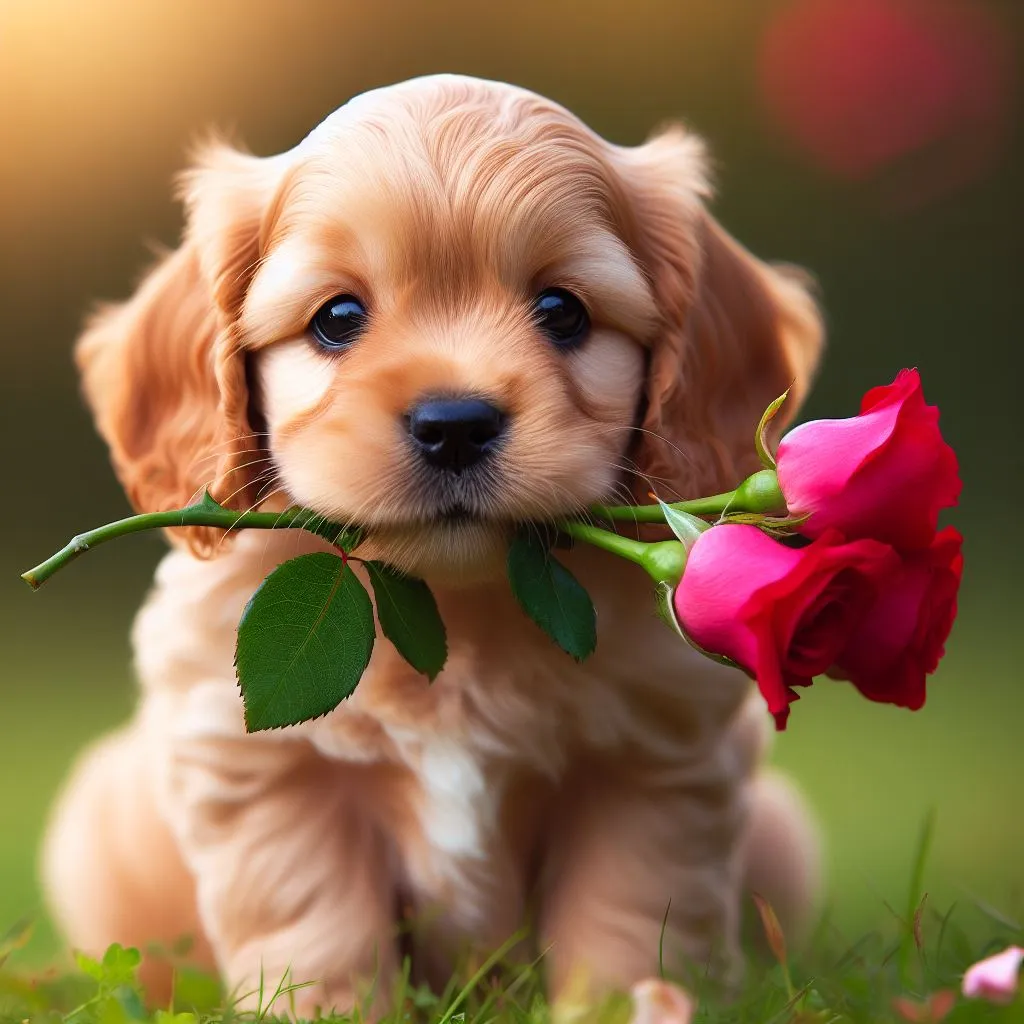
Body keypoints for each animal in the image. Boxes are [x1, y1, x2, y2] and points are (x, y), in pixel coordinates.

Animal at [44, 77, 823, 1015]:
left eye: (562, 312)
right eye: (337, 318)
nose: (455, 424)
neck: (460, 607)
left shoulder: (651, 763)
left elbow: (628, 919)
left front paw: (632, 1006)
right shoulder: (269, 771)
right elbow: (322, 933)